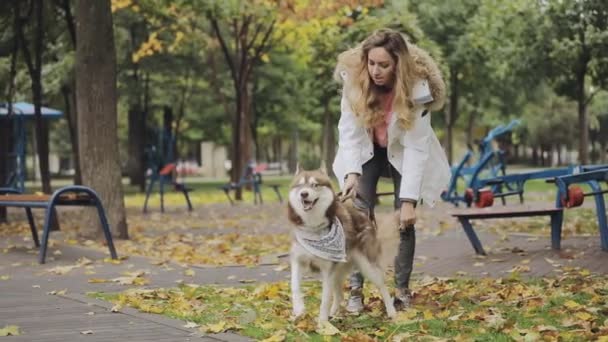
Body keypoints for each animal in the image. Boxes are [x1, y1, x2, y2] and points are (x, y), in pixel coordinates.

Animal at [288, 166, 396, 324]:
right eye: (300, 185)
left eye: (315, 185)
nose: (304, 194)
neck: (313, 227)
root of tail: (363, 215)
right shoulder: (298, 260)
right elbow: (295, 286)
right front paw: (299, 310)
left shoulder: (327, 270)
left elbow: (325, 299)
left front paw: (322, 323)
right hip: (337, 272)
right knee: (339, 295)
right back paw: (332, 314)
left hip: (368, 267)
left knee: (383, 286)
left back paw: (392, 312)